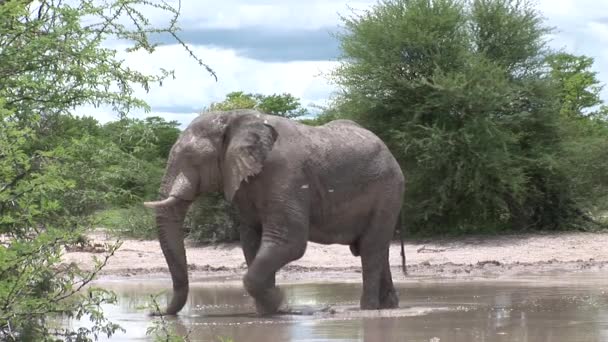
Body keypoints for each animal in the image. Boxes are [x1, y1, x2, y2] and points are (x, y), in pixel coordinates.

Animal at [145, 109, 406, 316]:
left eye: (192, 158)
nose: (154, 313)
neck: (234, 117)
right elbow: (252, 242)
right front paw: (268, 311)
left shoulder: (285, 175)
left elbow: (288, 241)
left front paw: (278, 302)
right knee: (374, 248)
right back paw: (388, 306)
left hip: (388, 190)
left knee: (371, 248)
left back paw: (368, 309)